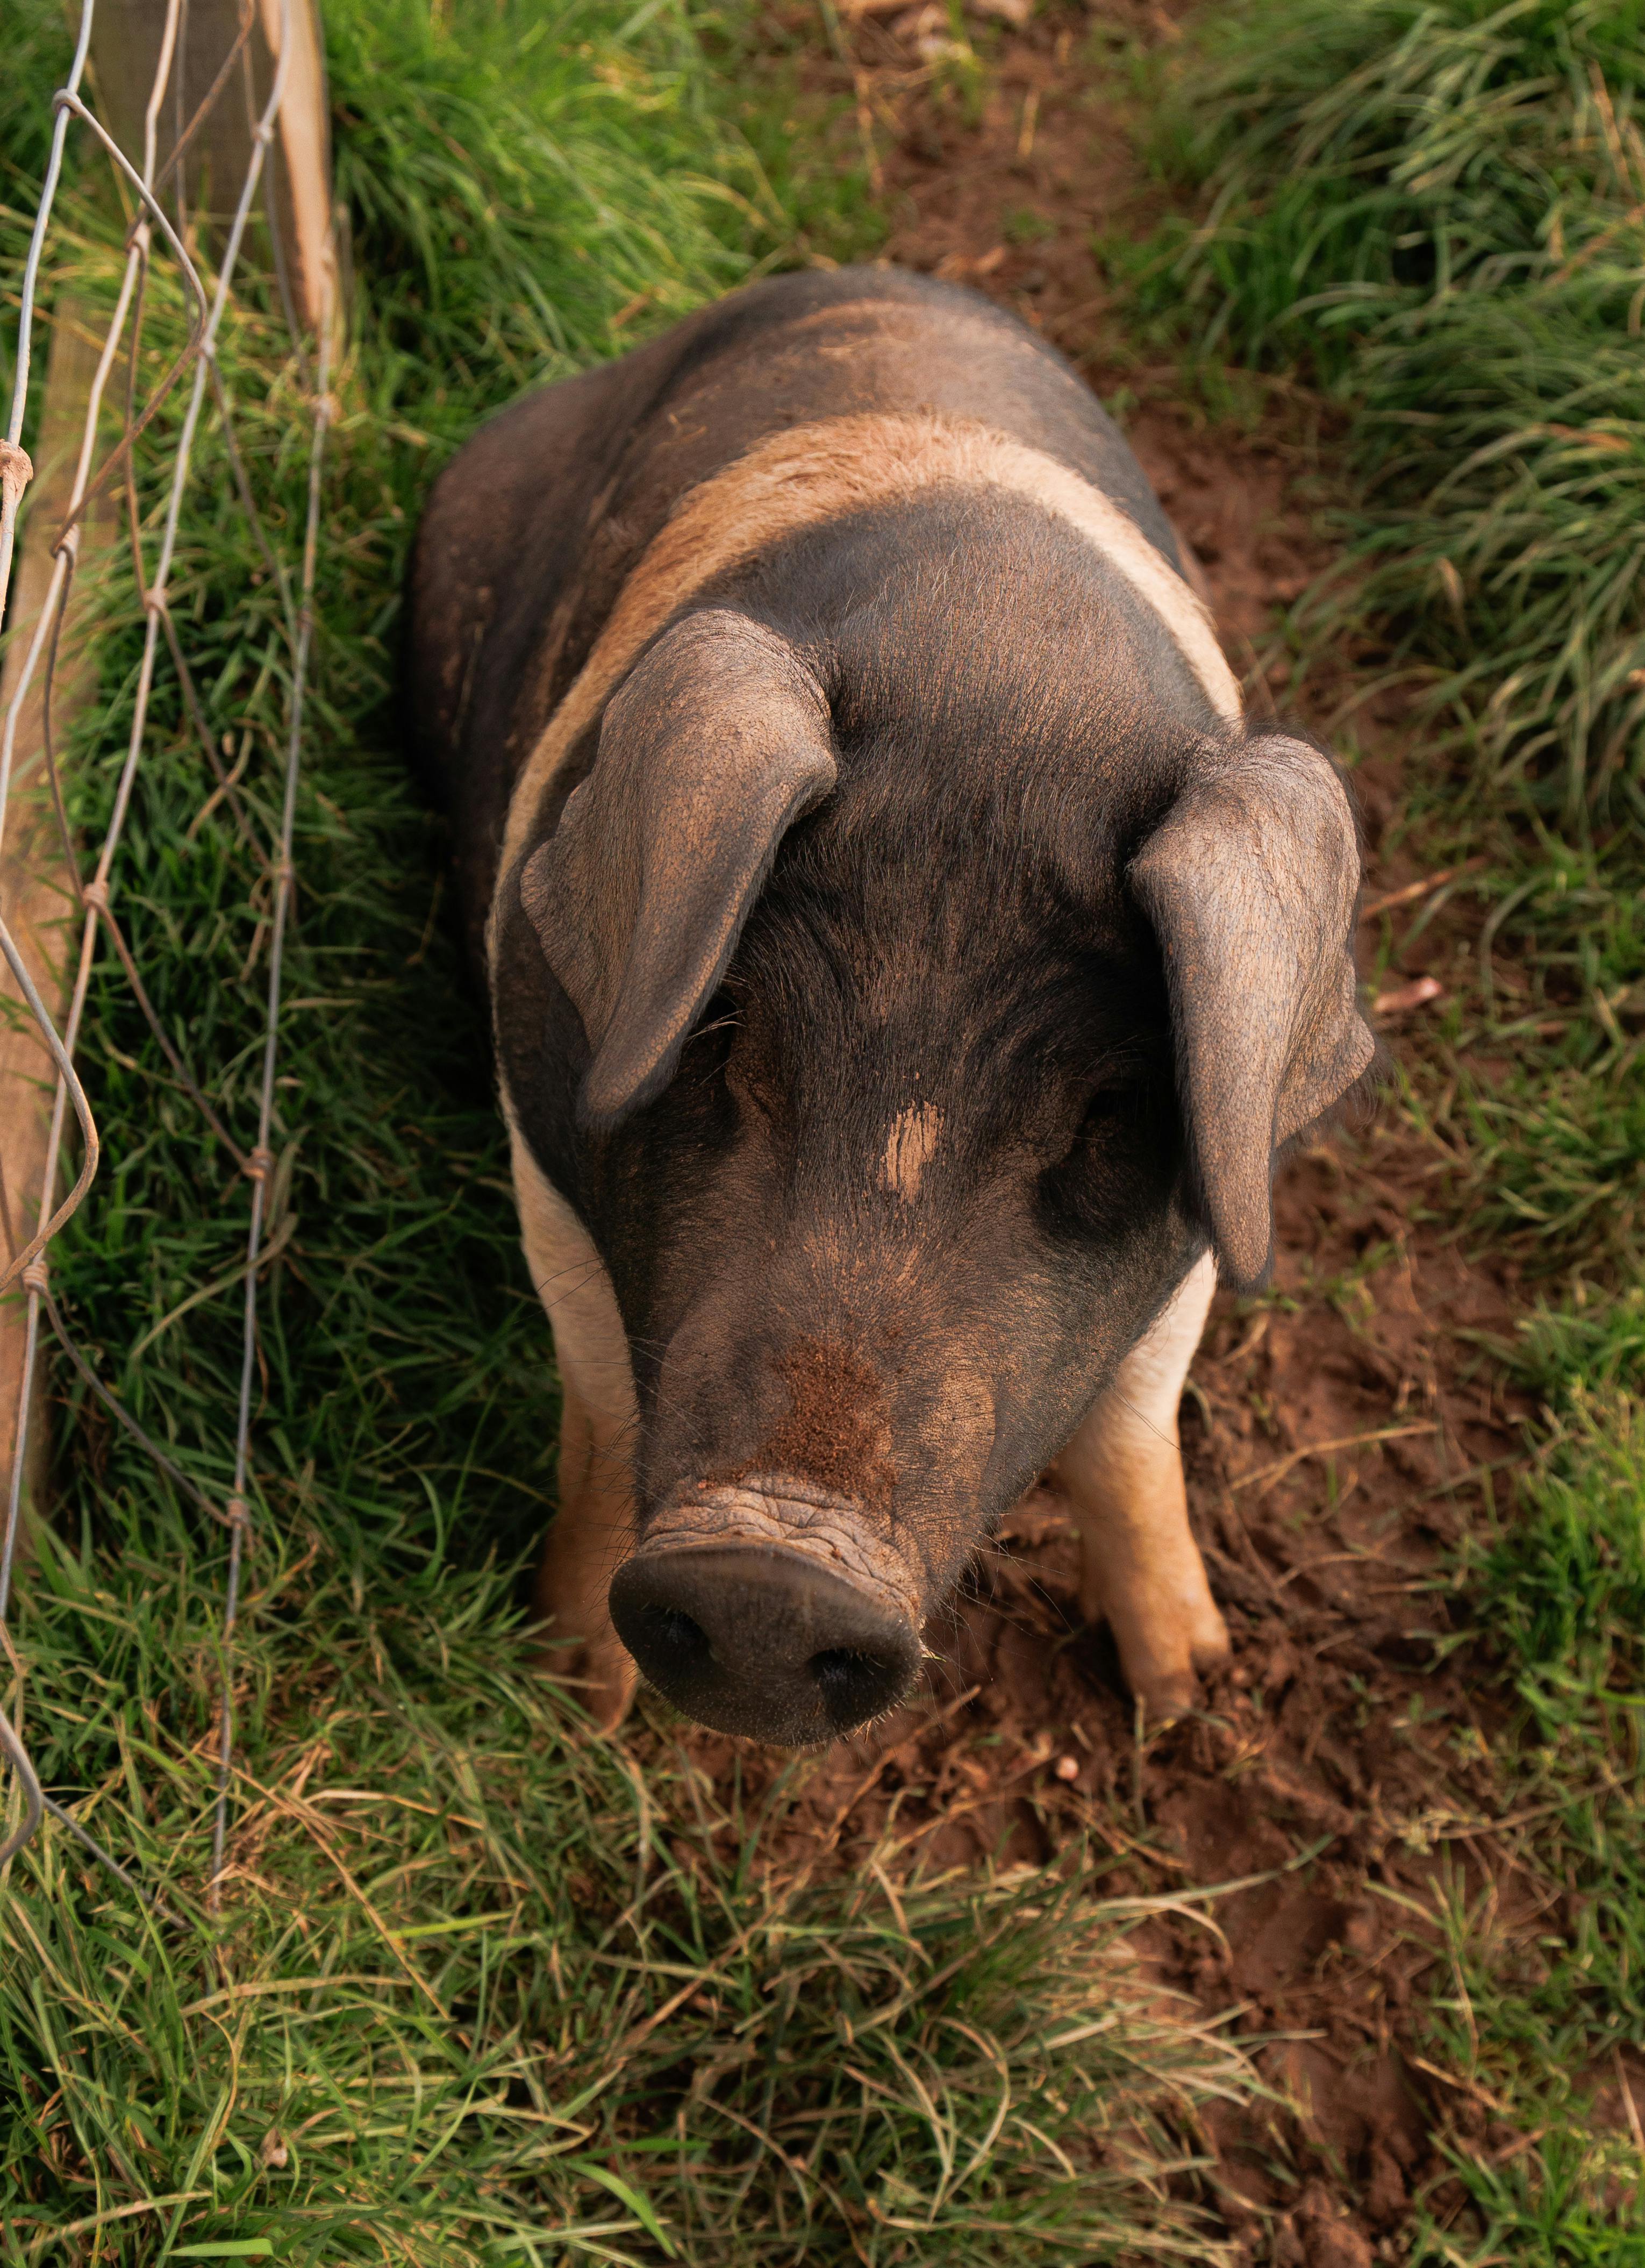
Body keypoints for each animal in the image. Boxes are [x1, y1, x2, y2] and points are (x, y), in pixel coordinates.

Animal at [404, 269, 1370, 1751]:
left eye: (1115, 1109)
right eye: (724, 1028)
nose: (773, 1578)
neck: (996, 669)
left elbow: (1130, 1429)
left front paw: (1191, 1694)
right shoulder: (541, 1149)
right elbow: (606, 1414)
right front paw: (571, 1693)